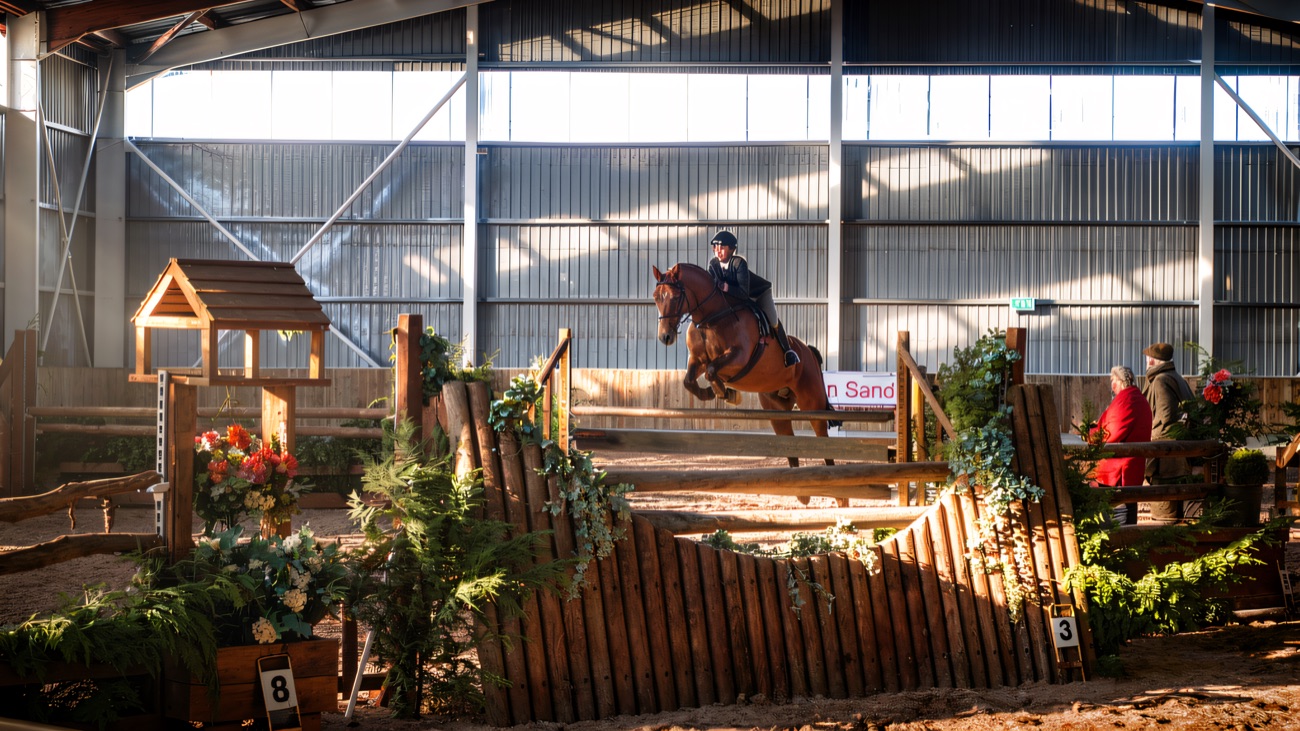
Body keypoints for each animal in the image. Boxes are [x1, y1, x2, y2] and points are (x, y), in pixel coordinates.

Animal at [652, 262, 845, 505]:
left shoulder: (739, 357)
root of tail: (808, 351)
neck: (710, 317)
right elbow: (690, 380)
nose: (665, 337)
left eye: (676, 296)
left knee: (823, 439)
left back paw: (838, 493)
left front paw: (725, 393)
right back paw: (802, 492)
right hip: (776, 409)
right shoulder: (697, 360)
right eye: (656, 297)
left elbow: (713, 370)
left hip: (812, 402)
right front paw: (713, 394)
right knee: (787, 438)